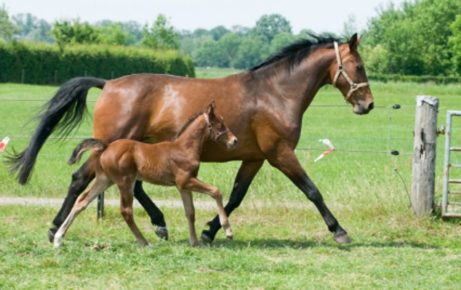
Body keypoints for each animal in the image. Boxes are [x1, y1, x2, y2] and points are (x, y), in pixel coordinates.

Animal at [53, 102, 237, 247]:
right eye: (220, 124)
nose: (234, 141)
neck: (184, 148)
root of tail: (106, 147)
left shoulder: (182, 187)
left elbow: (190, 212)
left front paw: (194, 242)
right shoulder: (186, 180)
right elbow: (215, 191)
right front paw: (228, 231)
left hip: (104, 180)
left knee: (82, 201)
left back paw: (58, 238)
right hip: (125, 181)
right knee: (126, 211)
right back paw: (144, 242)